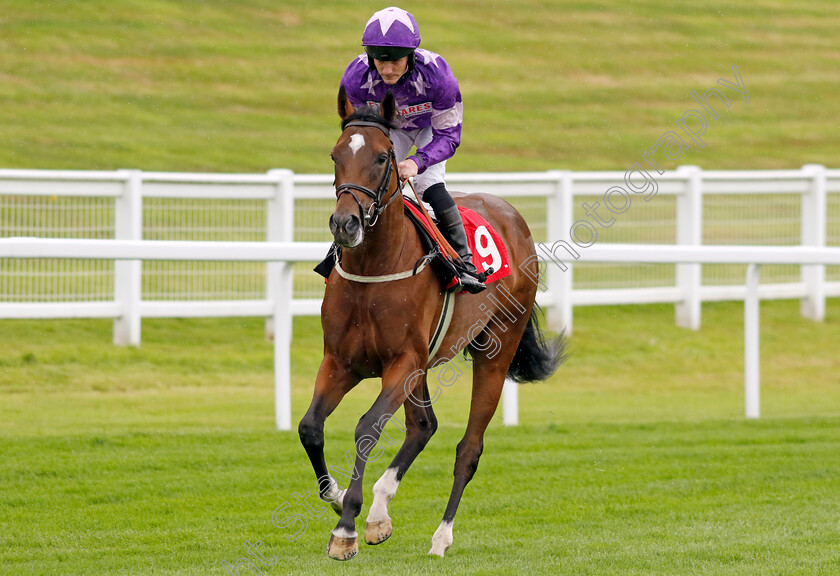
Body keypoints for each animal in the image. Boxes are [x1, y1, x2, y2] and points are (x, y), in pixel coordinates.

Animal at [296, 88, 564, 560]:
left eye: (382, 157)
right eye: (335, 155)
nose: (345, 224)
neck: (376, 267)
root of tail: (513, 215)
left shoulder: (401, 363)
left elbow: (366, 427)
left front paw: (345, 528)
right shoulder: (341, 361)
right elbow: (310, 427)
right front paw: (337, 500)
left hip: (495, 349)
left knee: (469, 448)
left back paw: (441, 535)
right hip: (423, 365)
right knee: (423, 426)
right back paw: (380, 514)